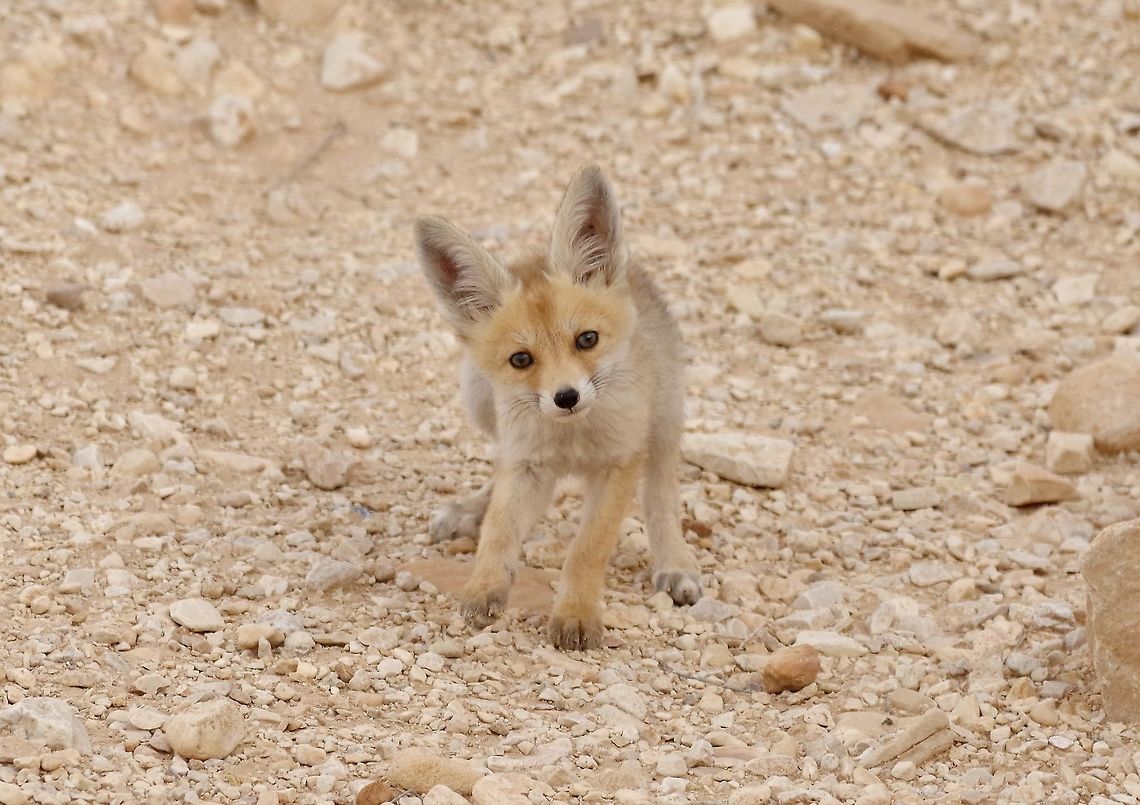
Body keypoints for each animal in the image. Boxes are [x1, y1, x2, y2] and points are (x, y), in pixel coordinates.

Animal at [413, 164, 703, 650]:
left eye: (587, 339)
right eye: (521, 360)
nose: (566, 397)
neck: (573, 440)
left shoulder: (620, 463)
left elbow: (587, 549)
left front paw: (577, 613)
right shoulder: (527, 462)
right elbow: (499, 532)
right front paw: (484, 586)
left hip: (664, 417)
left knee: (661, 490)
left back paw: (674, 562)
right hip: (478, 398)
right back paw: (469, 511)